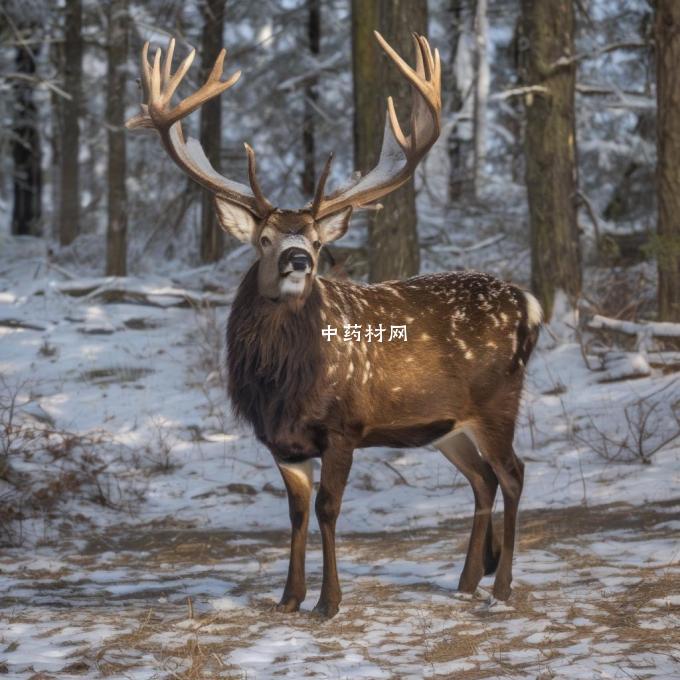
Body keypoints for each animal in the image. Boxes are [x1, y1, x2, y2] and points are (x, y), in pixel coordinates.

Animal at [126, 31, 540, 620]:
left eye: (320, 242)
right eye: (263, 240)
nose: (300, 259)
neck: (283, 387)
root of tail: (529, 303)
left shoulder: (344, 425)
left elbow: (327, 508)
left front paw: (328, 602)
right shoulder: (281, 441)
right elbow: (296, 514)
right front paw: (288, 598)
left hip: (497, 400)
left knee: (514, 473)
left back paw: (501, 589)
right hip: (448, 425)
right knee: (482, 479)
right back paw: (465, 583)